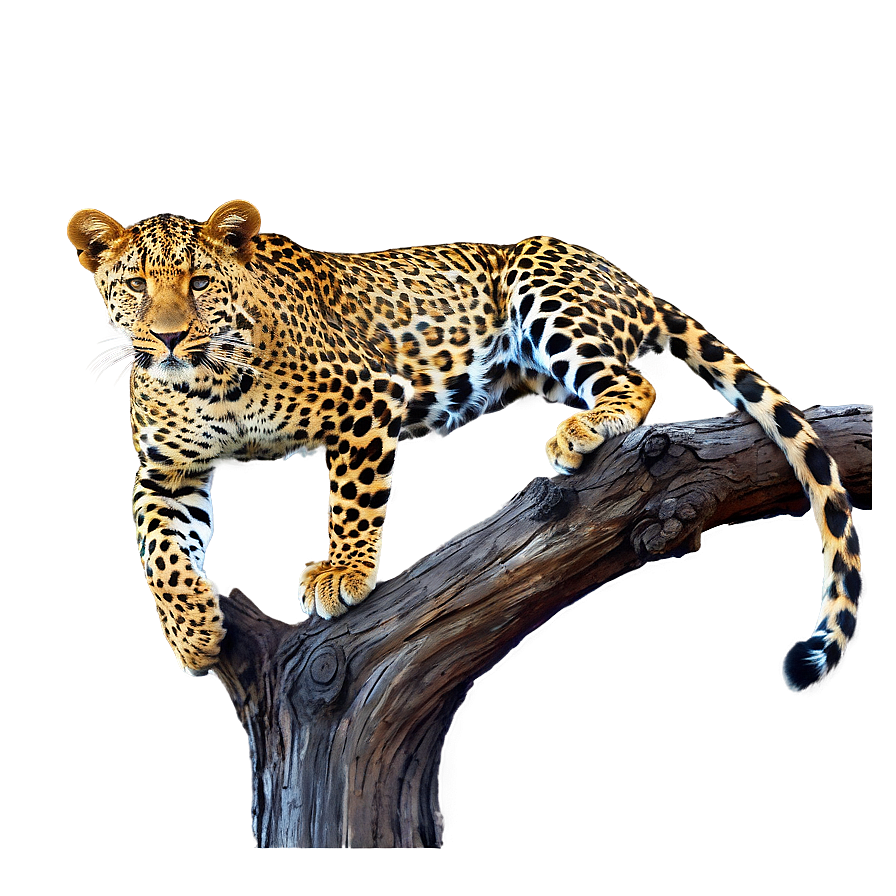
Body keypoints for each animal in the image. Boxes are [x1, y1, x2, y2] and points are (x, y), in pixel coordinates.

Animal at [69, 200, 862, 692]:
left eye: (200, 280)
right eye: (135, 286)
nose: (169, 336)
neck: (206, 383)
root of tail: (626, 277)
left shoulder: (367, 396)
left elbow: (352, 498)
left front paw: (342, 573)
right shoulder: (166, 472)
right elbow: (158, 552)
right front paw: (193, 632)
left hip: (540, 282)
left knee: (633, 383)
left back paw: (584, 429)